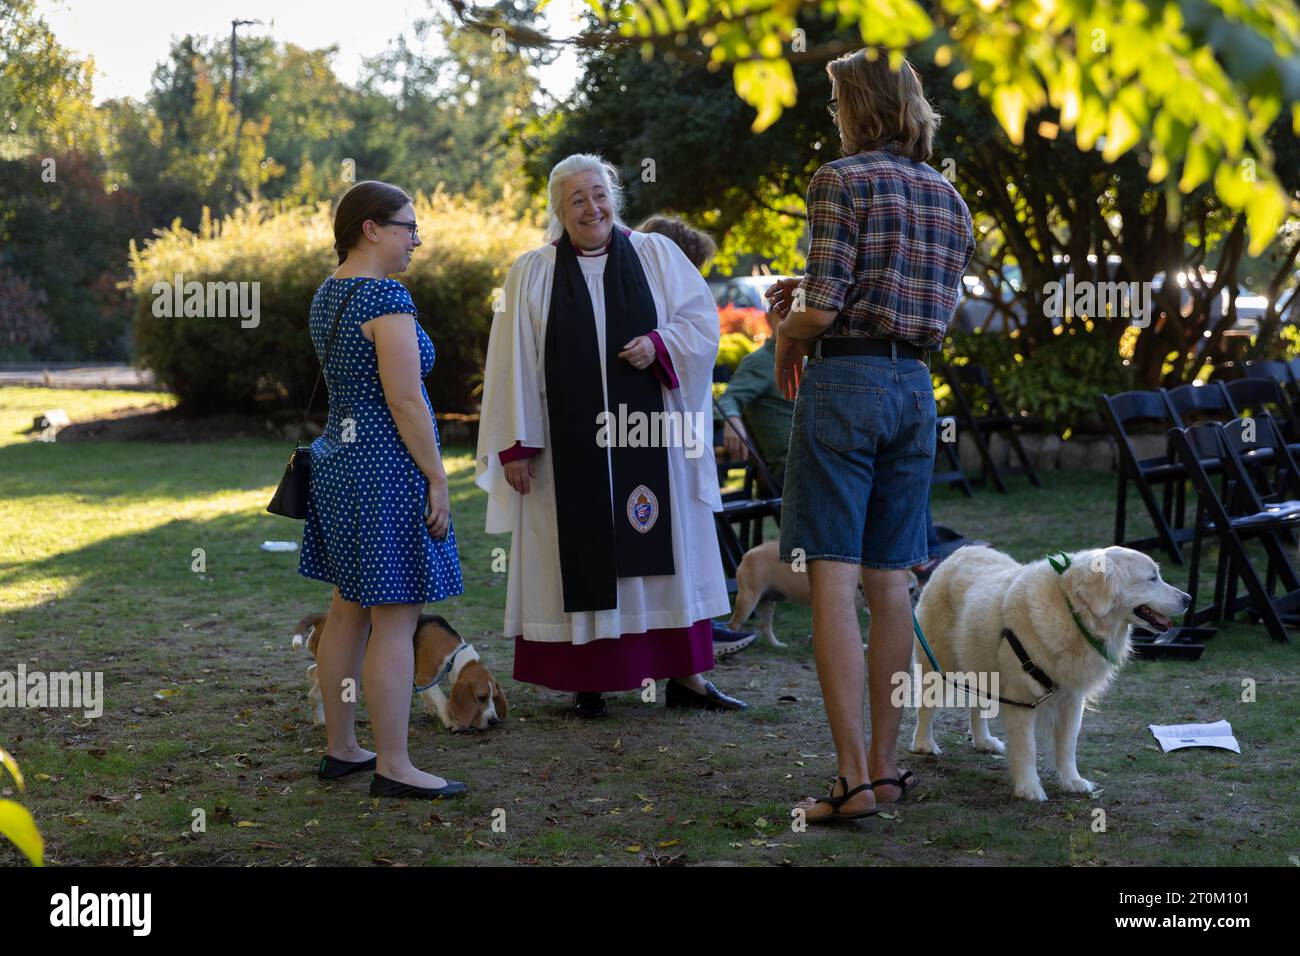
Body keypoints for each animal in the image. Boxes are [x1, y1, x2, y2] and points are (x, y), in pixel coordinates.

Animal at [291, 613, 506, 733]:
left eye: (494, 697)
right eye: (481, 697)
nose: (494, 721)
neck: (454, 653)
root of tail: (323, 617)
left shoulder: (418, 676)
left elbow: (427, 694)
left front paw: (430, 708)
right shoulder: (425, 676)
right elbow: (442, 699)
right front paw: (450, 720)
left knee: (313, 678)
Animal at [915, 546, 1190, 801]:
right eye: (1152, 578)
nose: (1187, 599)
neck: (1072, 613)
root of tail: (960, 552)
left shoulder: (1072, 700)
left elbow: (1068, 745)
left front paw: (1072, 781)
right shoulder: (1022, 699)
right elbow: (1027, 748)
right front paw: (1029, 788)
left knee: (977, 704)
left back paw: (984, 741)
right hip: (938, 662)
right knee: (927, 707)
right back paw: (923, 743)